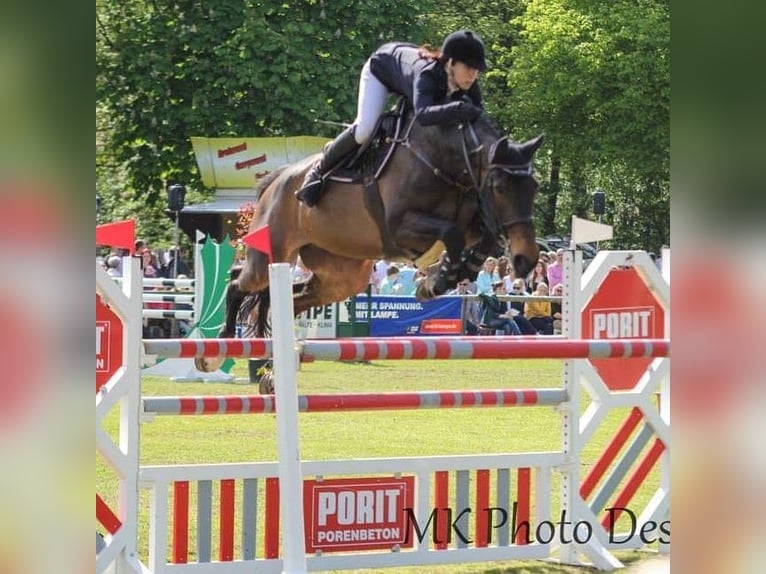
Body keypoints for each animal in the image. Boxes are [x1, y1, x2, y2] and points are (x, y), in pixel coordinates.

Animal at [201, 110, 544, 372]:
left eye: (534, 187)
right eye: (499, 187)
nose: (527, 258)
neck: (447, 162)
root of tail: (276, 181)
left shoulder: (474, 220)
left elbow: (482, 239)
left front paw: (448, 273)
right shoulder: (400, 227)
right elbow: (452, 233)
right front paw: (436, 280)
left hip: (342, 276)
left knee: (289, 298)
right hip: (271, 253)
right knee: (238, 281)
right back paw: (221, 346)